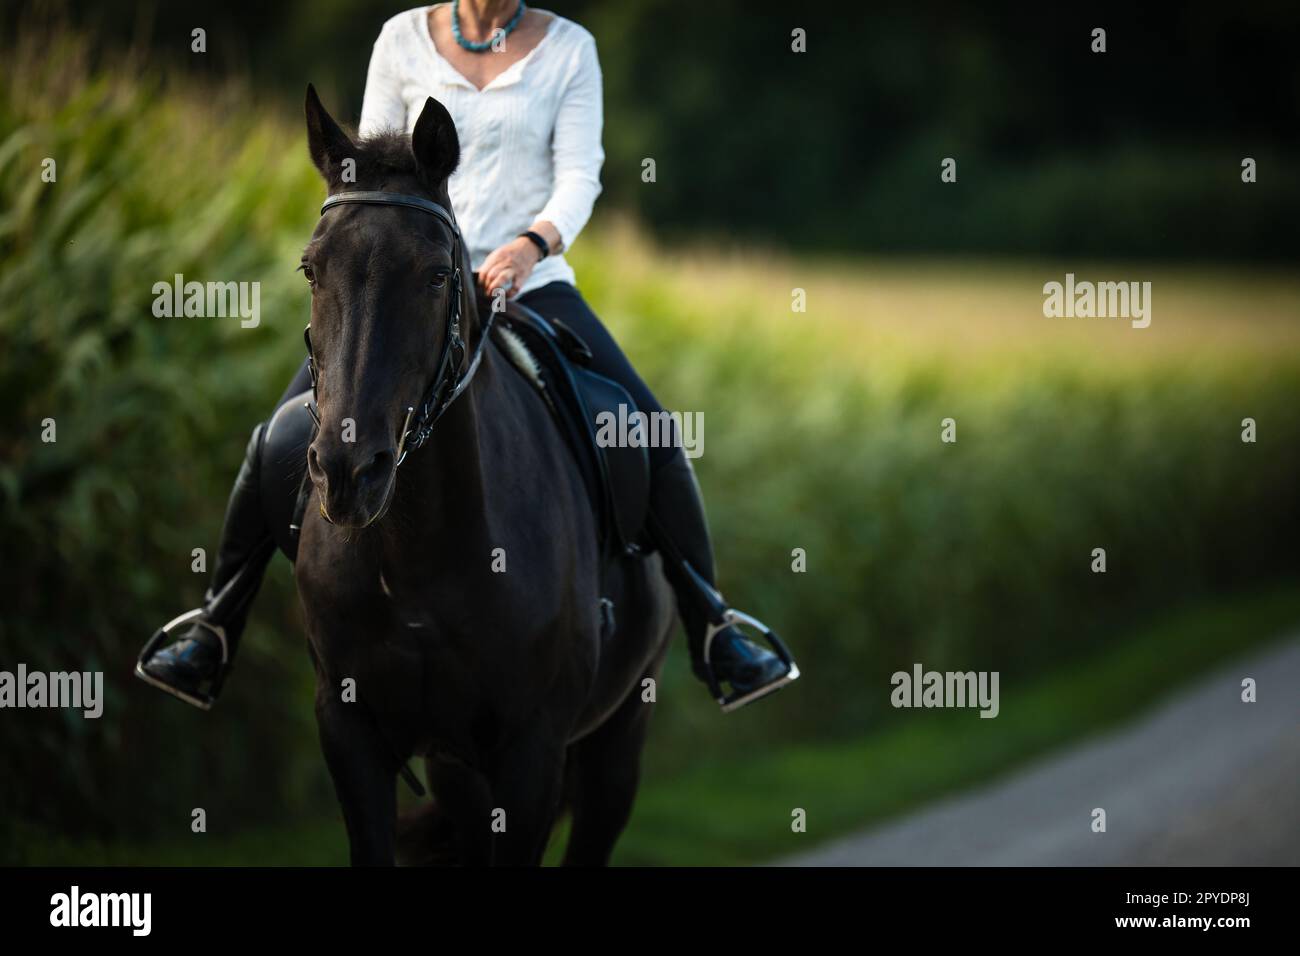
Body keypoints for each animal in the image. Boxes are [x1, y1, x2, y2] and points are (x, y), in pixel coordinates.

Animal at [294, 85, 675, 865]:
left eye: (437, 275)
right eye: (312, 269)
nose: (348, 472)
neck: (412, 556)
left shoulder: (532, 756)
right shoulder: (350, 735)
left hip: (618, 742)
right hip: (458, 774)